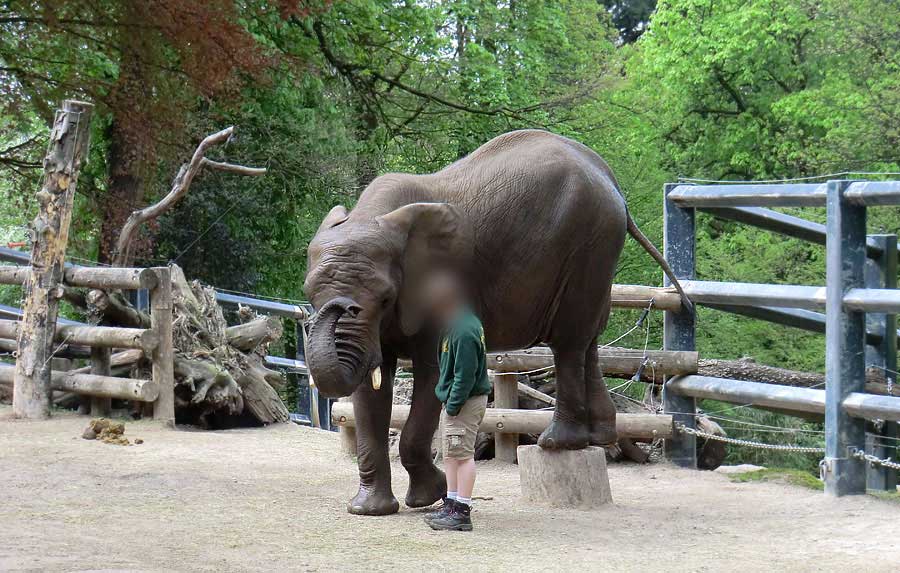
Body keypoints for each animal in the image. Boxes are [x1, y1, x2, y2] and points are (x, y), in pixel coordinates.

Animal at [302, 130, 688, 512]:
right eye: (309, 295)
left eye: (384, 297)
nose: (339, 307)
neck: (373, 216)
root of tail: (609, 177)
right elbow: (370, 386)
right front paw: (369, 510)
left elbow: (431, 374)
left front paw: (428, 497)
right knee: (588, 339)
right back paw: (596, 437)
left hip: (591, 241)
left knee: (569, 342)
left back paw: (557, 442)